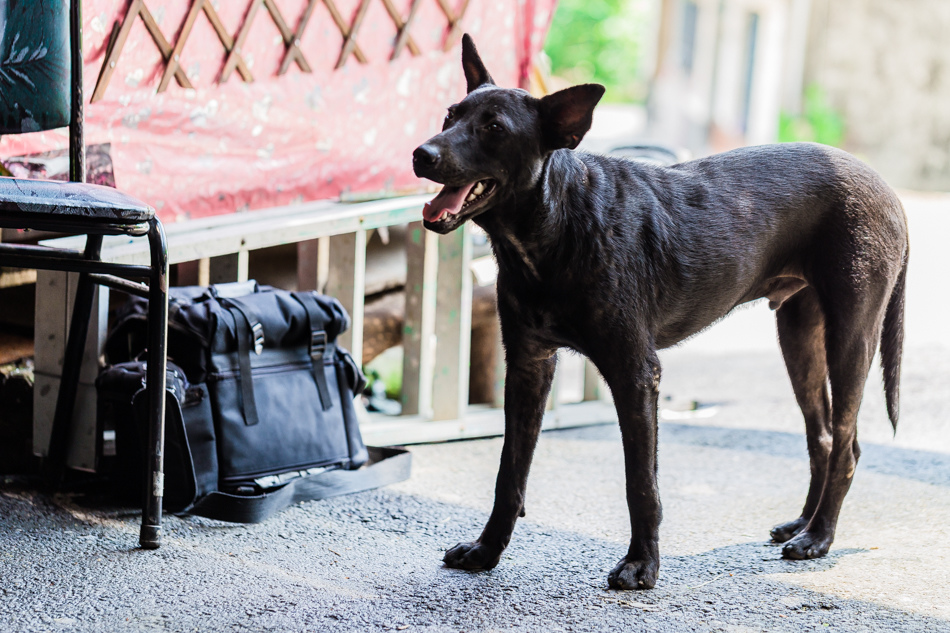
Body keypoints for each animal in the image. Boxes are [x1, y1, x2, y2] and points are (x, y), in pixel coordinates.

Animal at [412, 34, 912, 588]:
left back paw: (819, 537)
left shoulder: (636, 373)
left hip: (851, 339)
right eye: (450, 114)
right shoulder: (527, 366)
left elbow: (640, 483)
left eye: (494, 129)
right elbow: (510, 472)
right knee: (821, 436)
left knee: (846, 446)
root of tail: (887, 187)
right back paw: (803, 522)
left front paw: (641, 564)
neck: (557, 226)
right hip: (799, 339)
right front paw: (486, 550)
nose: (421, 154)